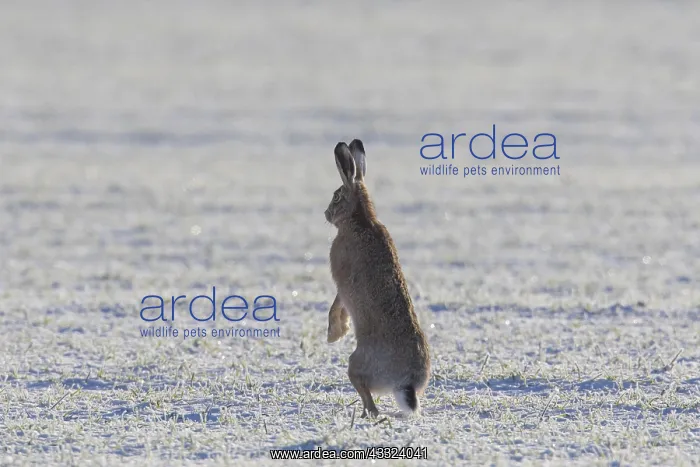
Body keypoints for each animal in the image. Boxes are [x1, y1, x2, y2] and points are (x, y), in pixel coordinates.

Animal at [324, 139, 431, 419]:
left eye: (336, 196)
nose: (326, 213)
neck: (360, 220)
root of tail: (405, 383)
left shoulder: (340, 279)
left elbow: (336, 304)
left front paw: (334, 334)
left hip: (355, 363)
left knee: (366, 395)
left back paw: (366, 414)